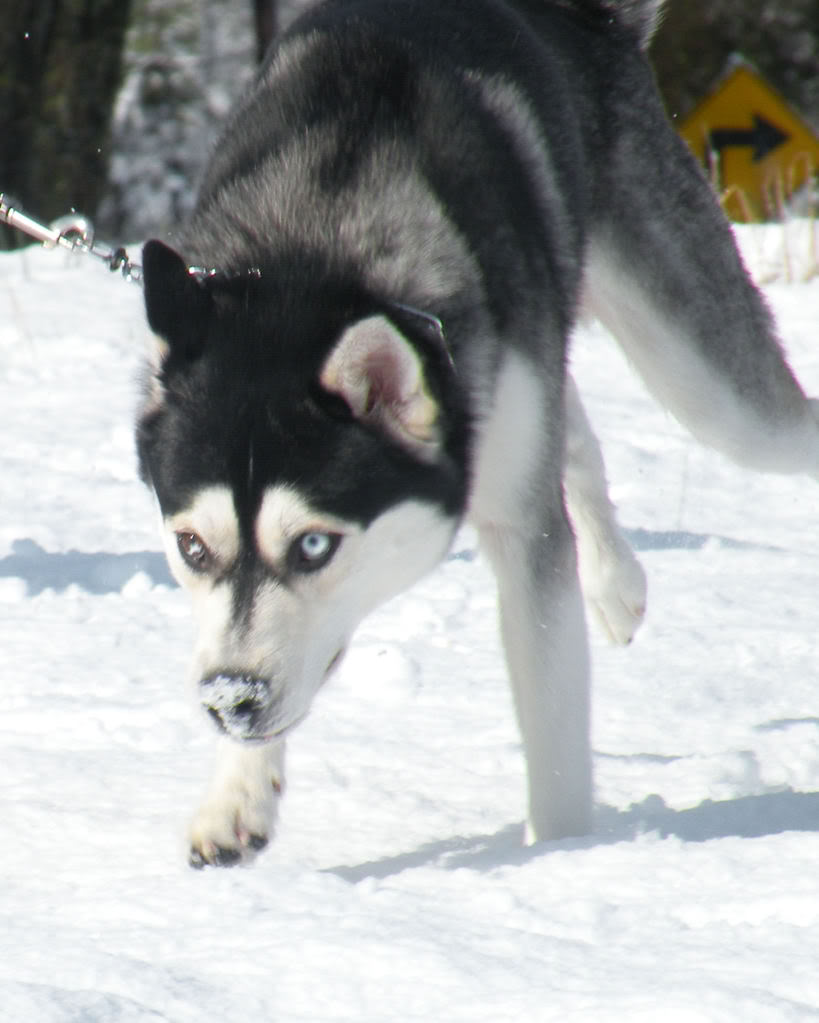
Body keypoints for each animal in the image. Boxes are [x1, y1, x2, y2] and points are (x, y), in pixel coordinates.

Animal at [137, 0, 817, 867]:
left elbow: (552, 730)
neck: (324, 236)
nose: (229, 699)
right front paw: (236, 795)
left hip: (715, 392)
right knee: (572, 435)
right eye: (193, 548)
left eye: (314, 544)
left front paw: (559, 859)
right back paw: (614, 581)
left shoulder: (523, 531)